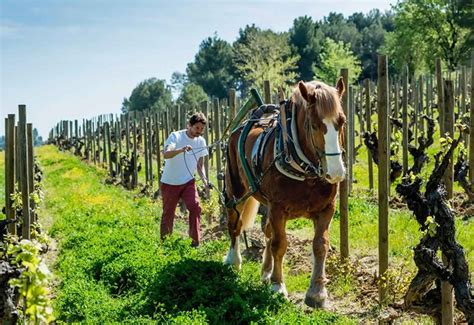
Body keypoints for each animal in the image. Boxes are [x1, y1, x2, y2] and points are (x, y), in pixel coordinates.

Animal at [224, 78, 346, 306]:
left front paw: (317, 292)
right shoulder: (278, 208)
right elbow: (279, 244)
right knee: (235, 224)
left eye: (341, 121)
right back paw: (233, 261)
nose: (336, 172)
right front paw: (278, 286)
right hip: (235, 189)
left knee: (267, 232)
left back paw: (266, 271)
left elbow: (320, 245)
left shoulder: (326, 208)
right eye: (314, 124)